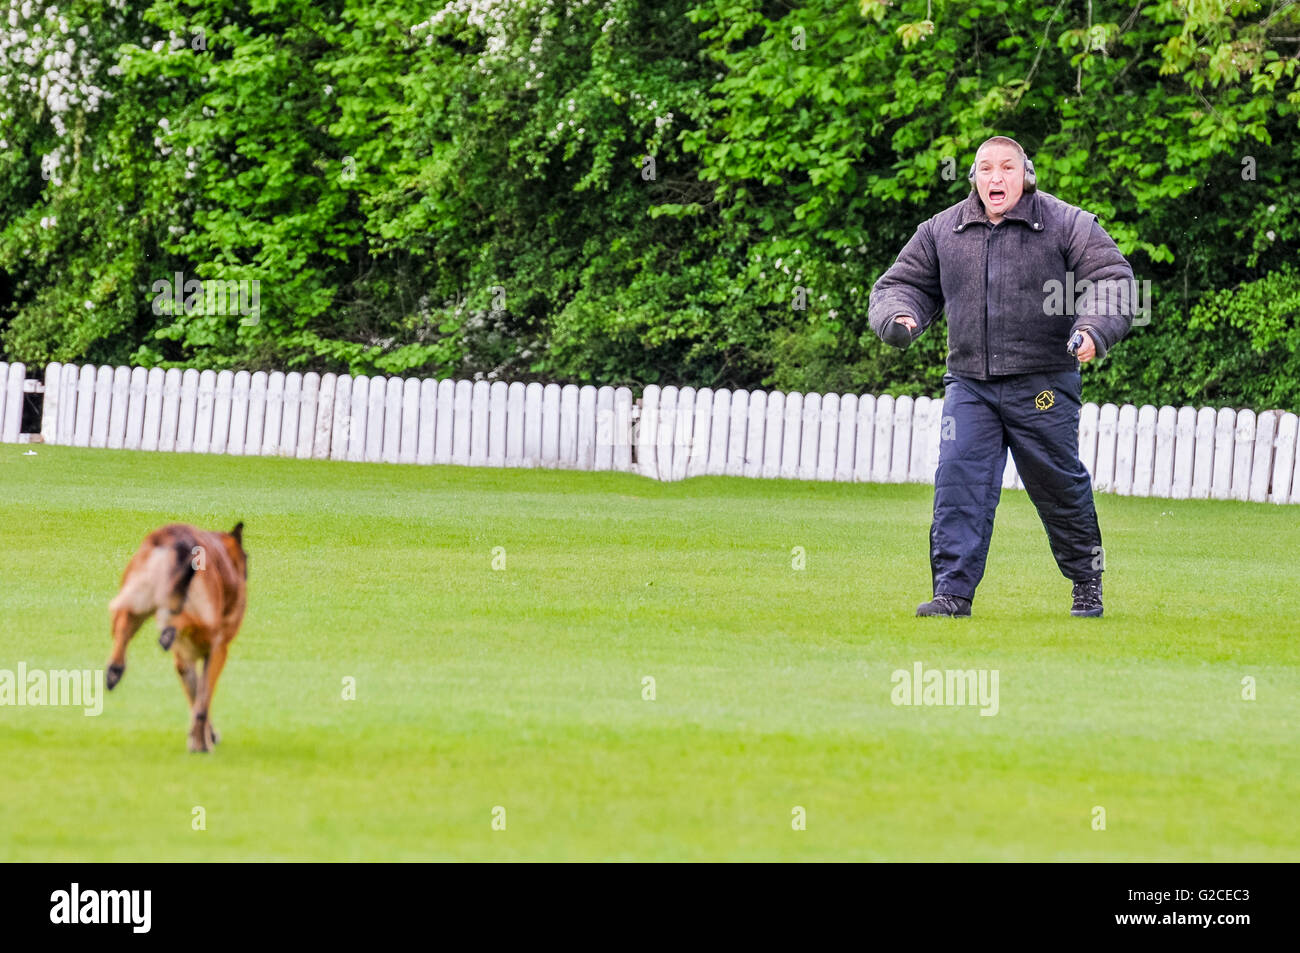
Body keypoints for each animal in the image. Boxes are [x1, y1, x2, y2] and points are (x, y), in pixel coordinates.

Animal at [106, 520, 248, 748]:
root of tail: (174, 537)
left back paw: (115, 669)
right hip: (204, 621)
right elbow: (202, 704)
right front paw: (202, 743)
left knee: (124, 625)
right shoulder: (218, 650)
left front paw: (202, 737)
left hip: (135, 600)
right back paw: (168, 628)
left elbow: (195, 698)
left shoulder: (183, 661)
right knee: (179, 618)